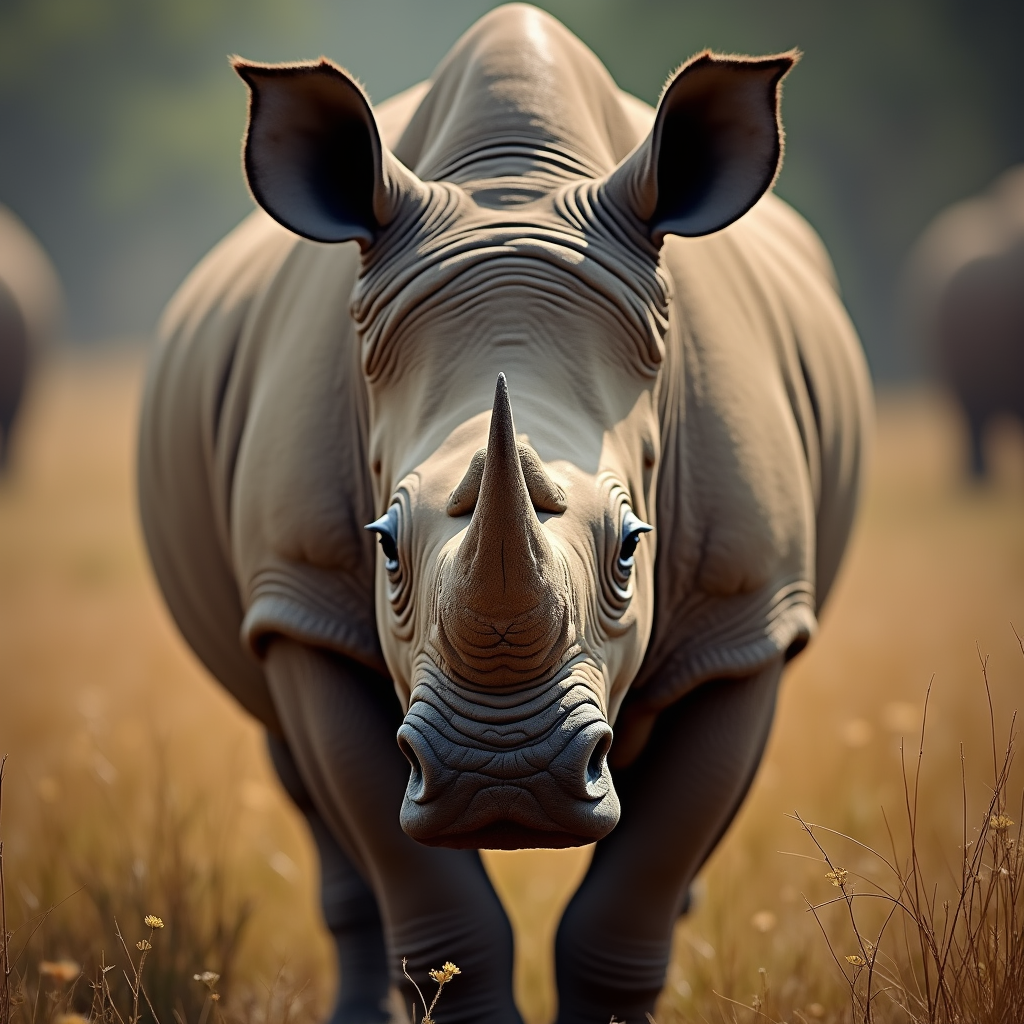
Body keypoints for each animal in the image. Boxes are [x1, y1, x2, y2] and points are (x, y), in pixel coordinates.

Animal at [138, 6, 870, 1023]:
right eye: (384, 548)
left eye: (633, 549)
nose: (504, 778)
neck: (513, 187)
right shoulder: (303, 597)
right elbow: (436, 908)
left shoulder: (748, 618)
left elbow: (626, 911)